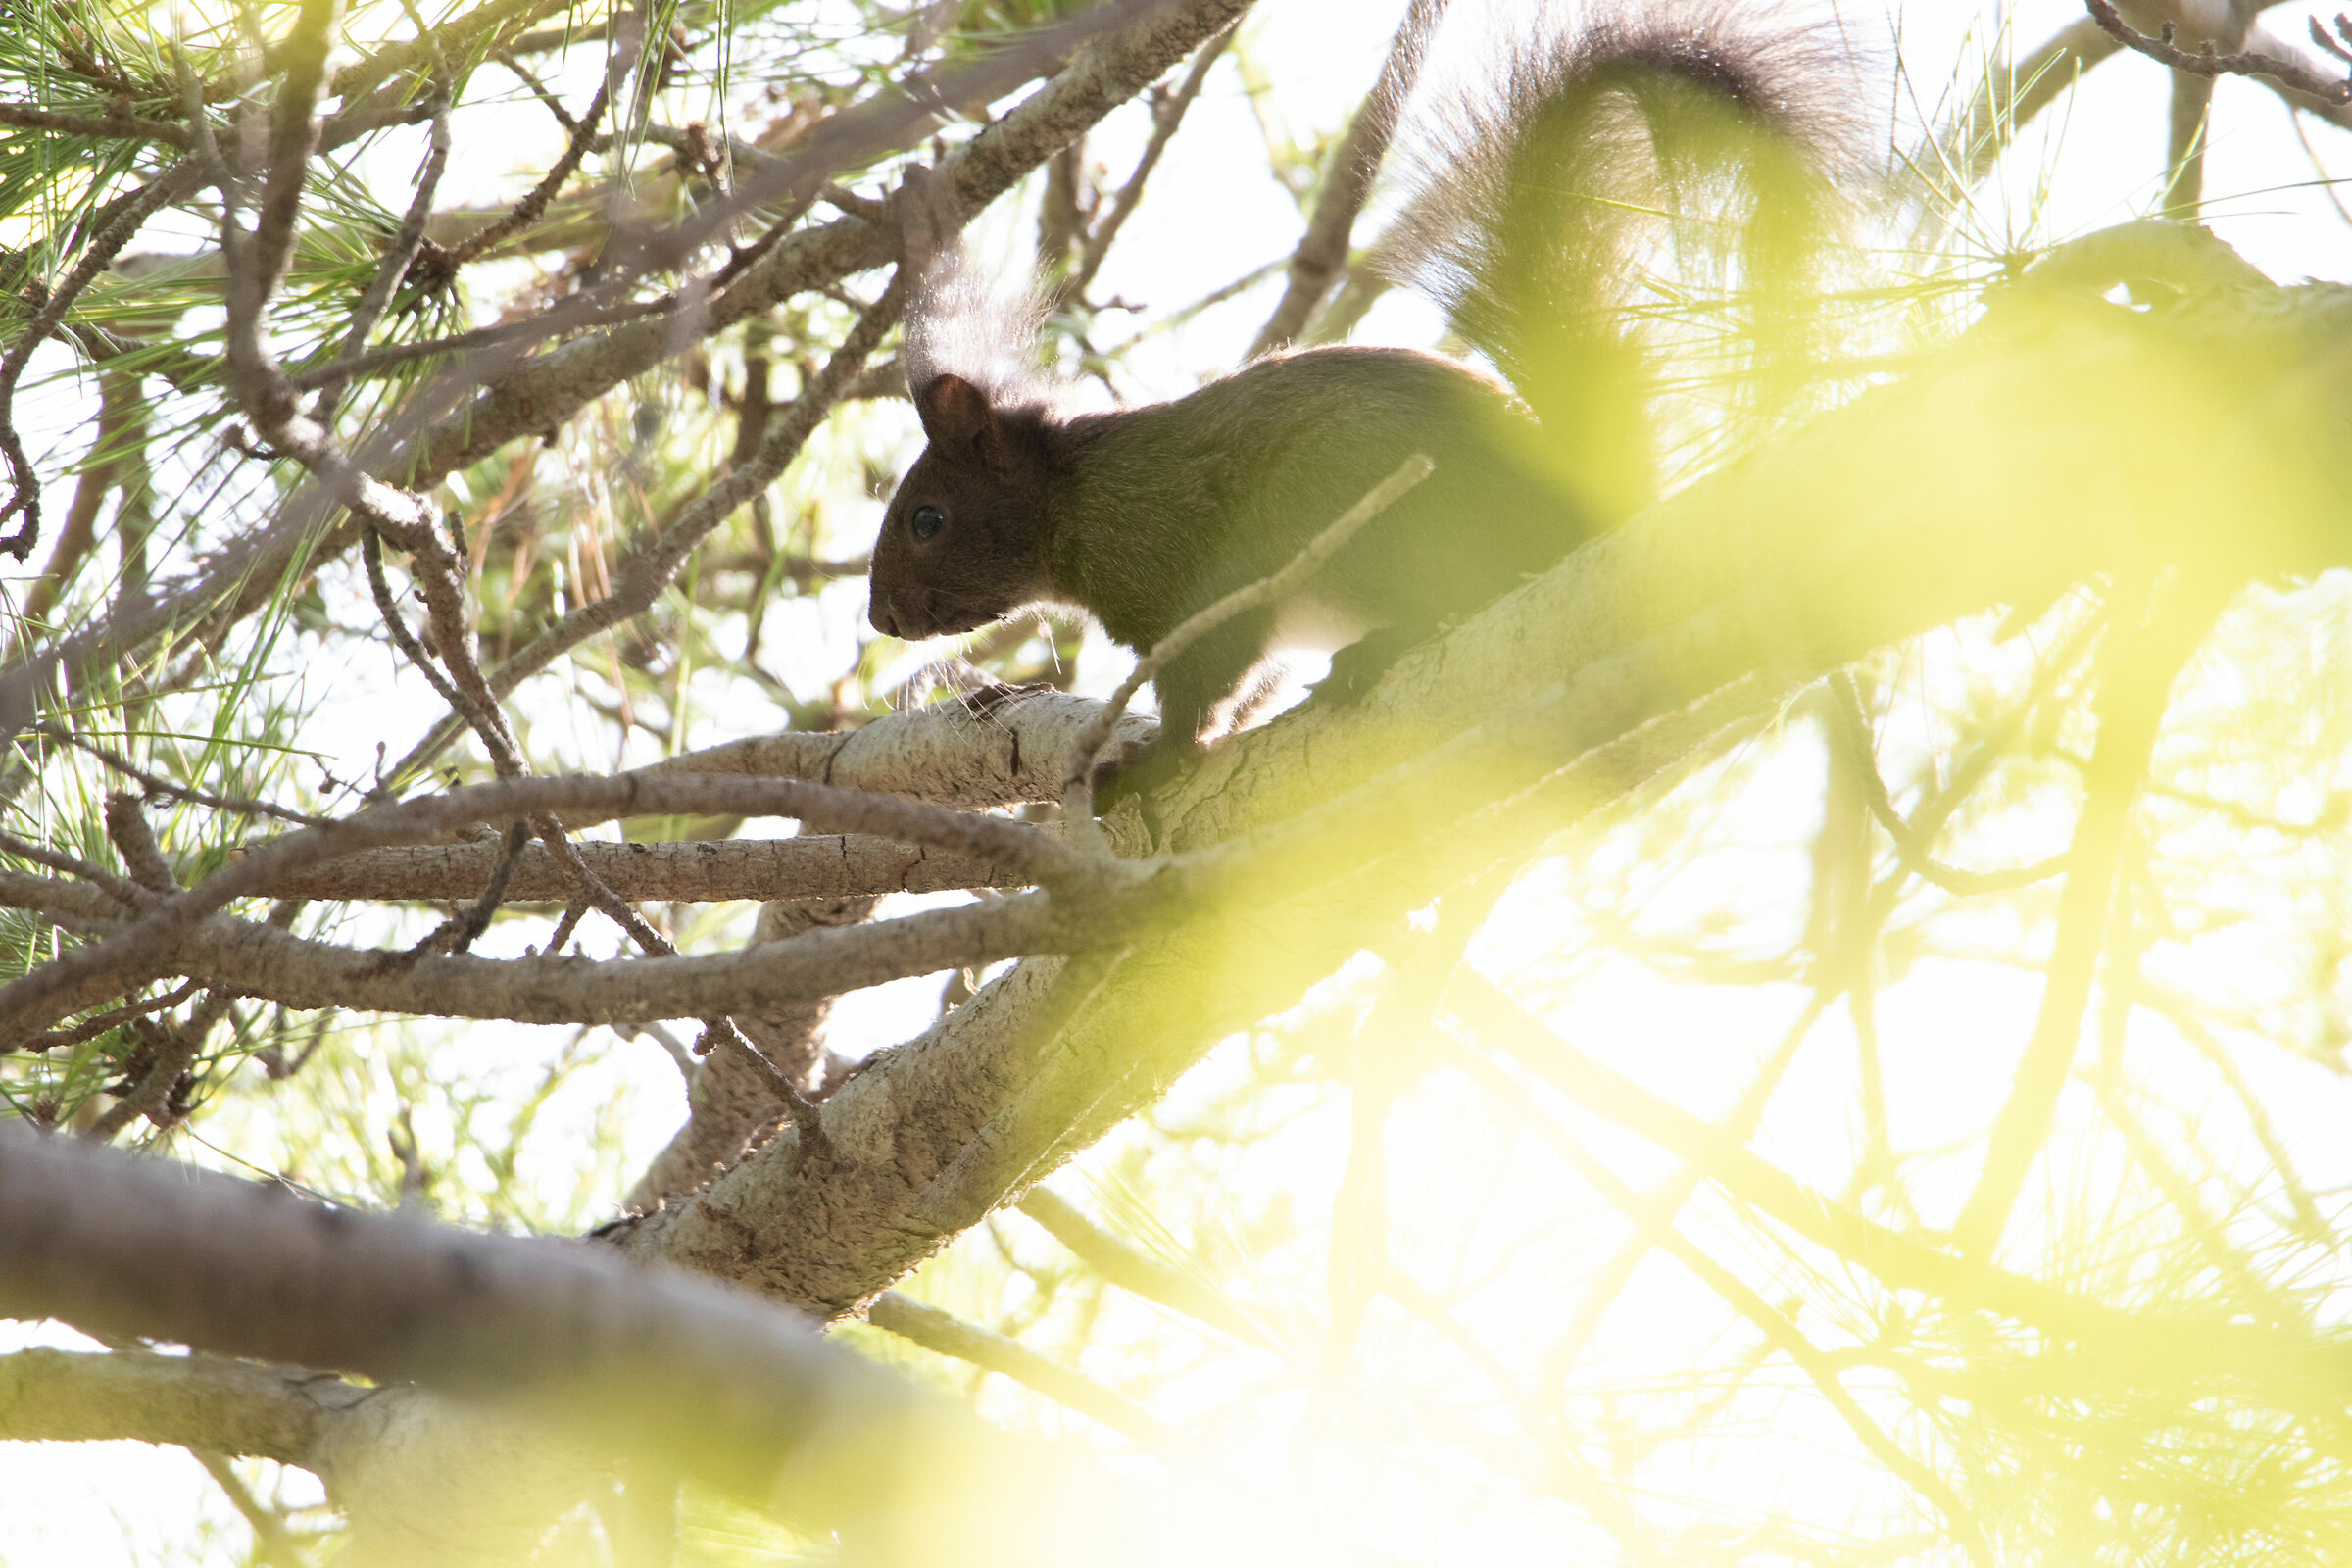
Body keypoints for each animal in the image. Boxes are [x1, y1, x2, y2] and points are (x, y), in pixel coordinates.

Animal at [866, 3, 1861, 799]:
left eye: (927, 518)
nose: (880, 620)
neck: (1076, 496)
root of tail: (1582, 511)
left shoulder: (1184, 566)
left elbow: (1206, 681)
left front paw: (1158, 761)